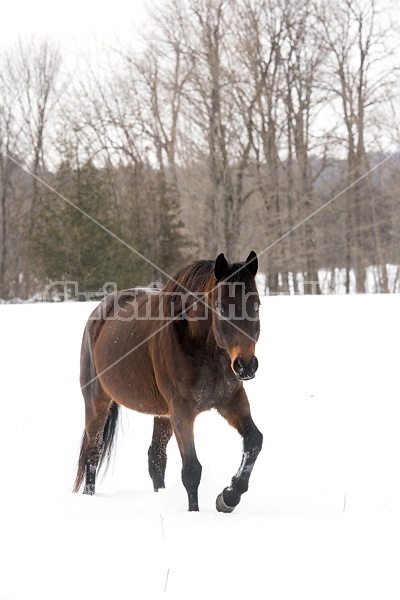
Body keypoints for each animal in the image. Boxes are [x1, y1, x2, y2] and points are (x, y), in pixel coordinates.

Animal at [73, 250, 264, 510]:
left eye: (256, 305)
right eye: (220, 306)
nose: (246, 365)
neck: (203, 349)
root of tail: (98, 314)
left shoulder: (231, 401)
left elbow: (254, 441)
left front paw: (228, 497)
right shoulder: (182, 411)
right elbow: (192, 470)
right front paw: (195, 513)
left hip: (162, 415)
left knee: (155, 457)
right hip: (97, 401)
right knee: (93, 452)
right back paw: (89, 498)